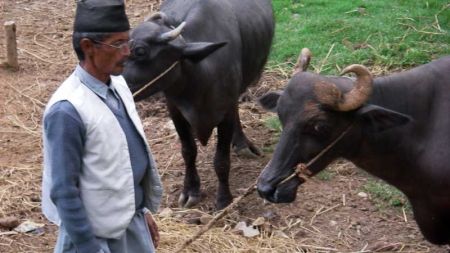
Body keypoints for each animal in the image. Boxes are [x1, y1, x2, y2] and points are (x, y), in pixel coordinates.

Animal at [121, 0, 274, 210]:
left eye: (140, 51)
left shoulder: (225, 112)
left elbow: (221, 160)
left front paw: (224, 199)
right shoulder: (175, 111)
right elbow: (188, 151)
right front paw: (191, 191)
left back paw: (242, 144)